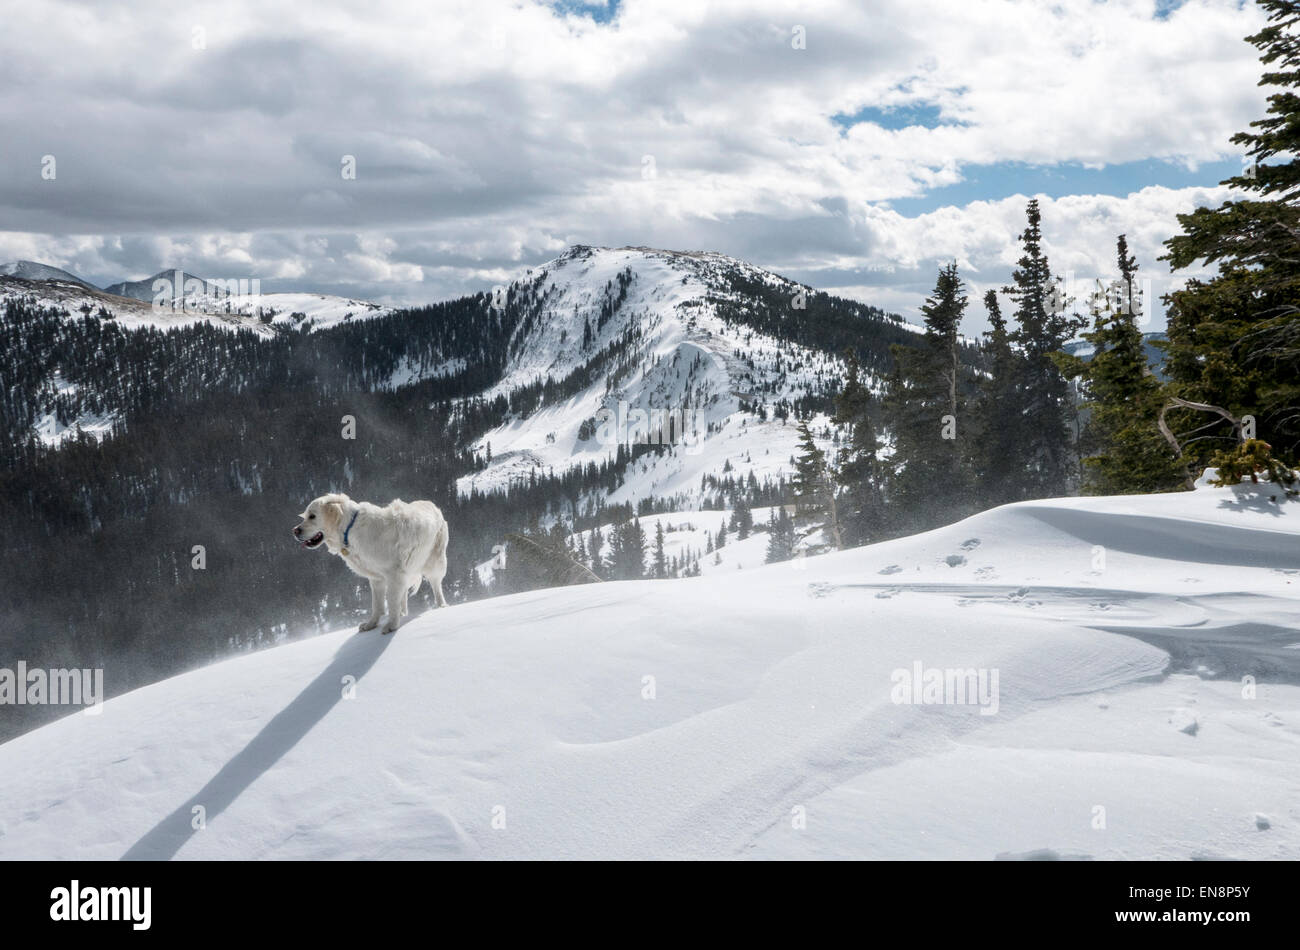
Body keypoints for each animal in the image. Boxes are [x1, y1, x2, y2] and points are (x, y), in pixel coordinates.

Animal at [296, 493, 452, 634]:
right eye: (305, 516)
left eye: (312, 516)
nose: (295, 531)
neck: (349, 529)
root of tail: (432, 504)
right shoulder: (377, 578)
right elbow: (377, 605)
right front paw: (371, 624)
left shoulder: (394, 574)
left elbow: (391, 601)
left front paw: (392, 625)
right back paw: (403, 613)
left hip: (435, 562)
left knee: (436, 586)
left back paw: (441, 606)